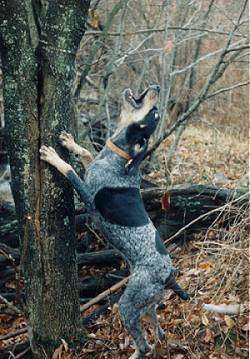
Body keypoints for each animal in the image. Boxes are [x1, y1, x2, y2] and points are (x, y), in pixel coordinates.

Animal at [39, 85, 188, 359]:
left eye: (154, 114)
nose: (156, 87)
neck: (119, 156)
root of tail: (168, 274)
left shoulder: (88, 198)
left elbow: (70, 171)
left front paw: (55, 156)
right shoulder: (93, 164)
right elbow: (87, 152)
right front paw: (69, 142)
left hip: (127, 305)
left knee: (143, 343)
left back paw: (138, 351)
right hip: (148, 303)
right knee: (156, 324)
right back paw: (159, 338)